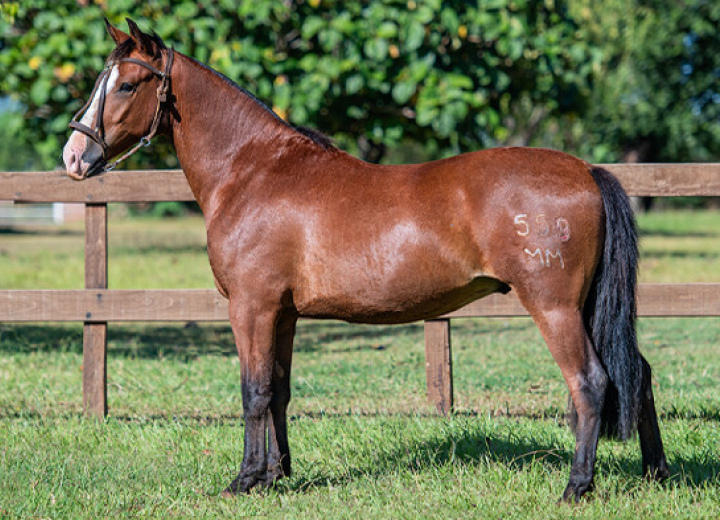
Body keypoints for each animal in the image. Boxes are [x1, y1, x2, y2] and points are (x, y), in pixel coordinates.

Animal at [62, 19, 668, 500]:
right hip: (587, 307)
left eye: (128, 84)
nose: (74, 156)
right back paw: (656, 472)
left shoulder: (252, 308)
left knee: (590, 382)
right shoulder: (283, 313)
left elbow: (253, 391)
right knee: (637, 372)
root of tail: (585, 169)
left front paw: (245, 479)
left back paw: (576, 486)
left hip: (555, 307)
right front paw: (278, 475)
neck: (254, 170)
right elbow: (278, 390)